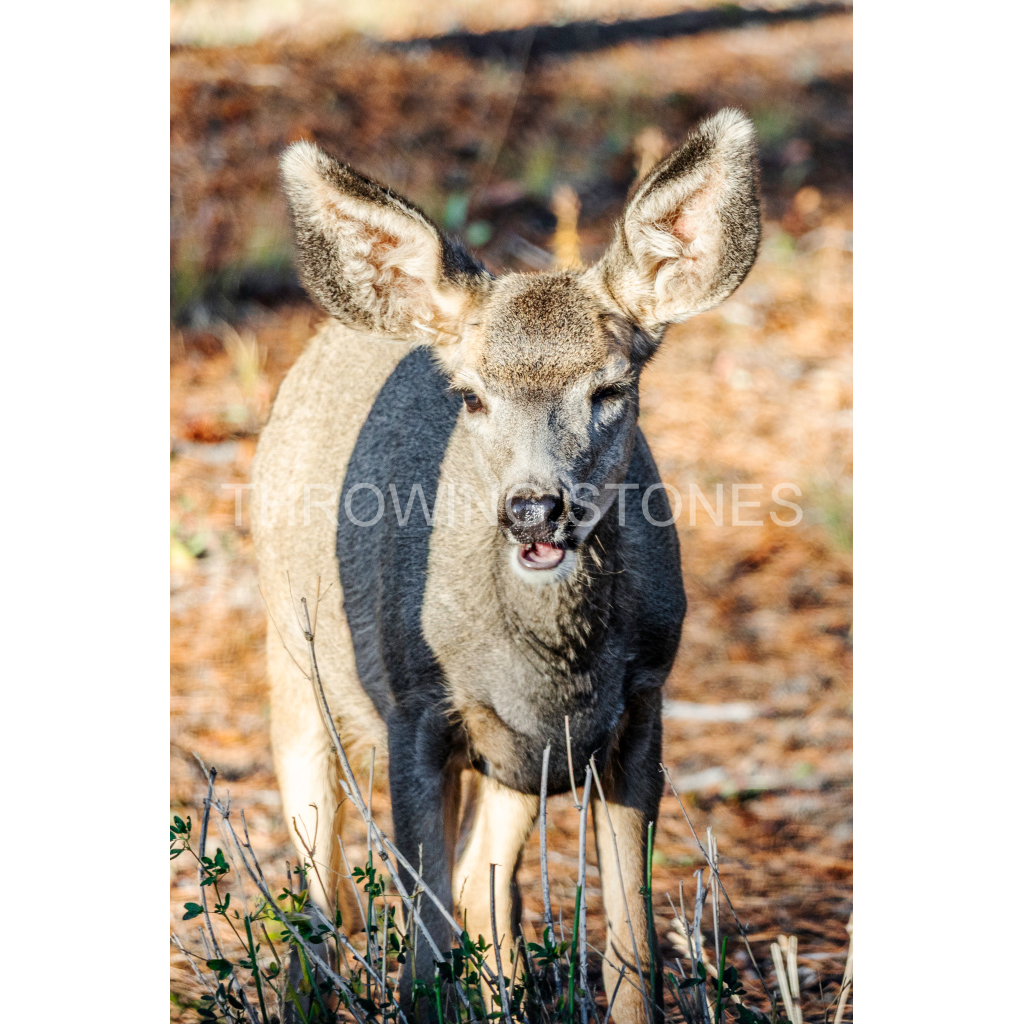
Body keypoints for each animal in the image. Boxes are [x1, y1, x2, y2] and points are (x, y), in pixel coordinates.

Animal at [251, 108, 760, 1022]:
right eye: (471, 396)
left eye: (610, 390)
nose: (534, 508)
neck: (553, 667)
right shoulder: (415, 705)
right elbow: (422, 959)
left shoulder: (641, 704)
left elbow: (633, 953)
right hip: (293, 659)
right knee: (322, 895)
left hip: (515, 766)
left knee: (482, 891)